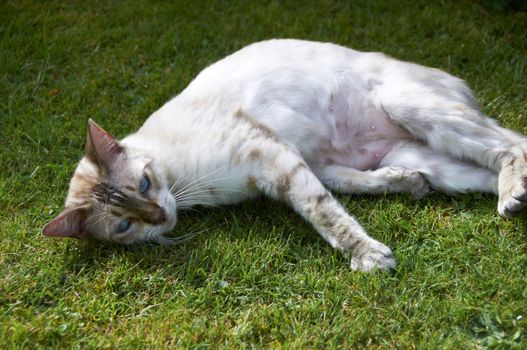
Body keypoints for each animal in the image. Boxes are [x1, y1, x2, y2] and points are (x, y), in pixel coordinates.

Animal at [42, 39, 527, 272]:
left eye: (144, 183)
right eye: (124, 226)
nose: (160, 217)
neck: (186, 190)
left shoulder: (272, 158)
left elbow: (325, 215)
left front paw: (370, 259)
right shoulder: (310, 164)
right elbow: (346, 189)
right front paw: (406, 187)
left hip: (414, 110)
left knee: (514, 142)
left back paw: (511, 196)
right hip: (436, 160)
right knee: (485, 167)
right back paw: (509, 199)